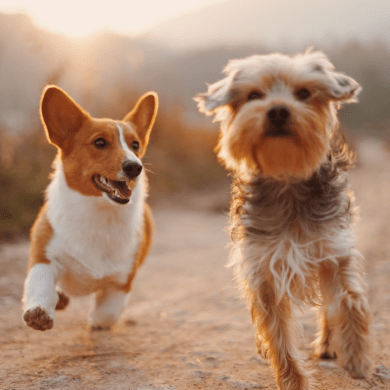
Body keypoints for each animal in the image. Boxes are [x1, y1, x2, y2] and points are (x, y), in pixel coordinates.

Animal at [22, 85, 157, 330]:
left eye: (135, 145)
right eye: (100, 143)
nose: (135, 167)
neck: (98, 213)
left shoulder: (121, 282)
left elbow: (106, 313)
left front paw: (96, 321)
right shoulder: (44, 258)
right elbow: (41, 285)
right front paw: (39, 312)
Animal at [195, 50, 372, 388]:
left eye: (303, 93)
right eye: (254, 95)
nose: (277, 110)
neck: (287, 178)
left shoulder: (334, 249)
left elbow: (349, 299)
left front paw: (357, 356)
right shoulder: (263, 269)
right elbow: (278, 335)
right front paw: (293, 381)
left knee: (328, 306)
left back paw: (330, 344)